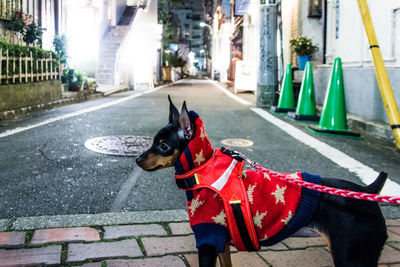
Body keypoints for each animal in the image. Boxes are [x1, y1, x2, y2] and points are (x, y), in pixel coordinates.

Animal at [137, 97, 388, 267]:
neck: (204, 173)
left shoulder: (207, 241)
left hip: (352, 257)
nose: (138, 159)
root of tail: (367, 190)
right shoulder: (221, 244)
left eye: (163, 146)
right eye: (153, 141)